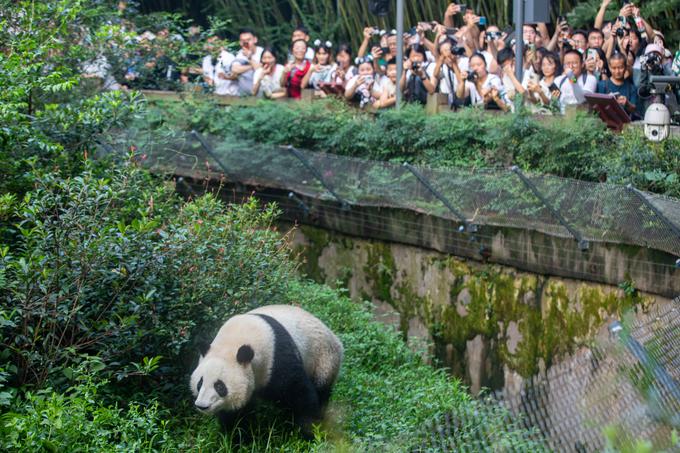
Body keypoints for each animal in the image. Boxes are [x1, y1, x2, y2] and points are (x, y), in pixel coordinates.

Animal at [189, 306, 342, 436]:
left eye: (220, 386)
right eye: (200, 383)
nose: (201, 405)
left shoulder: (277, 358)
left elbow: (300, 393)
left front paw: (310, 431)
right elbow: (236, 416)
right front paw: (237, 438)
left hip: (323, 359)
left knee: (321, 390)